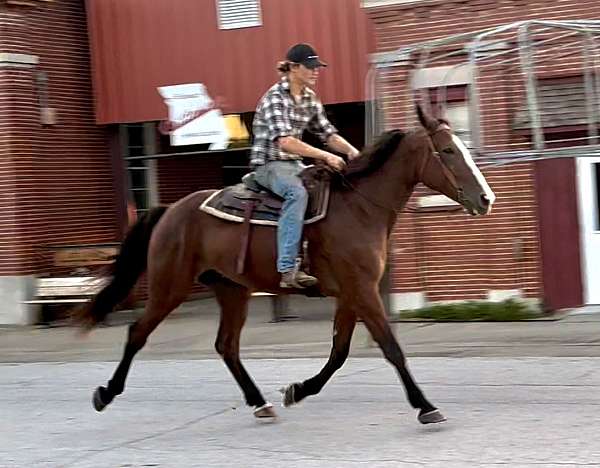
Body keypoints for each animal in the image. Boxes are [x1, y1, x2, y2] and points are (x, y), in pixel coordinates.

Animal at [77, 105, 494, 424]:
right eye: (448, 150)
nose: (486, 199)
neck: (359, 207)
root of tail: (169, 211)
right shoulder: (362, 291)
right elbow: (390, 347)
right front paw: (425, 406)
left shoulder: (350, 295)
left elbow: (339, 352)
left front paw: (298, 390)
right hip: (170, 286)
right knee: (137, 333)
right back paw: (105, 393)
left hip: (231, 289)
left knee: (226, 345)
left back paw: (259, 401)